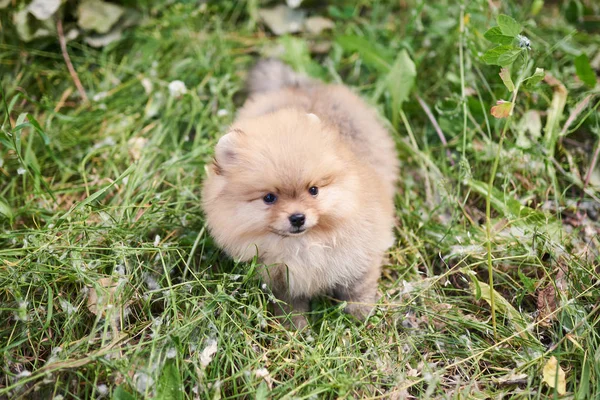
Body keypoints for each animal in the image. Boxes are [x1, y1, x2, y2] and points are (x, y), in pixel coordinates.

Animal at [202, 59, 398, 328]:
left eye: (313, 190)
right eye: (269, 198)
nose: (297, 218)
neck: (302, 245)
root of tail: (299, 85)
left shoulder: (362, 252)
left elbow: (358, 286)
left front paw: (361, 315)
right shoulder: (279, 279)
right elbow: (289, 305)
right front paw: (294, 329)